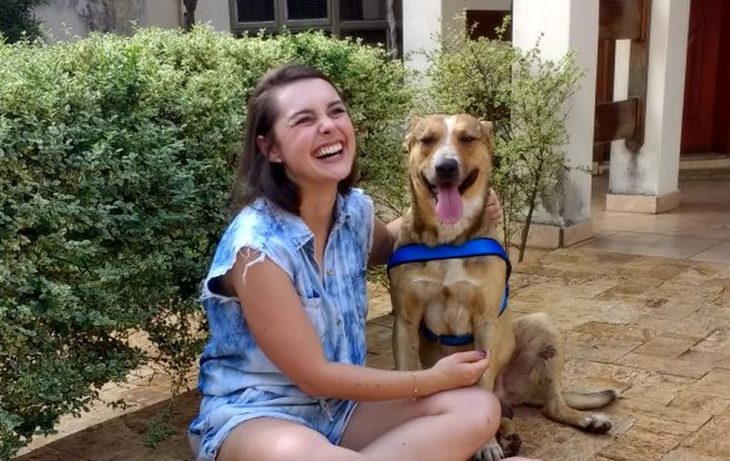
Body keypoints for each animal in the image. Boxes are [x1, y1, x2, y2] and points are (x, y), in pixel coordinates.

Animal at [386, 114, 616, 460]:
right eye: (427, 140)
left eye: (467, 138)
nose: (446, 167)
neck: (449, 239)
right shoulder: (405, 320)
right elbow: (405, 374)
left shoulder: (485, 323)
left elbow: (481, 384)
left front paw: (487, 444)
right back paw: (508, 435)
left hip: (542, 326)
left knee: (548, 405)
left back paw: (579, 420)